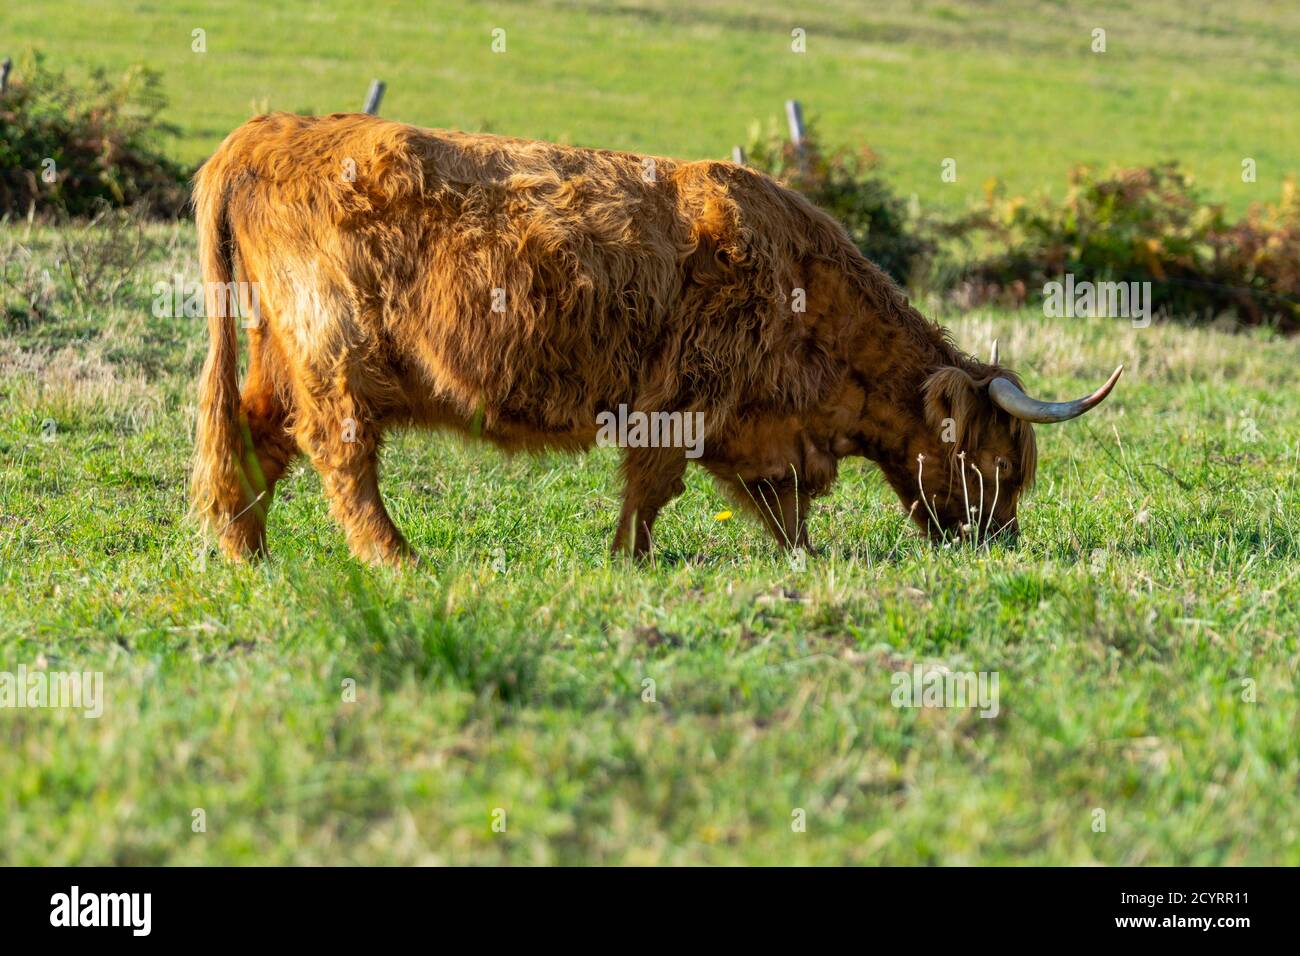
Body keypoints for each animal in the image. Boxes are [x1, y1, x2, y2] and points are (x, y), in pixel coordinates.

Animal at [190, 113, 1121, 566]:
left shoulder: (756, 425)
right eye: (998, 464)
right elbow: (653, 487)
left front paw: (804, 557)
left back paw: (247, 553)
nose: (996, 542)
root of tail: (269, 130)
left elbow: (780, 502)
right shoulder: (684, 396)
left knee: (257, 437)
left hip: (279, 348)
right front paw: (628, 560)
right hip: (335, 348)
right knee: (338, 451)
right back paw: (396, 560)